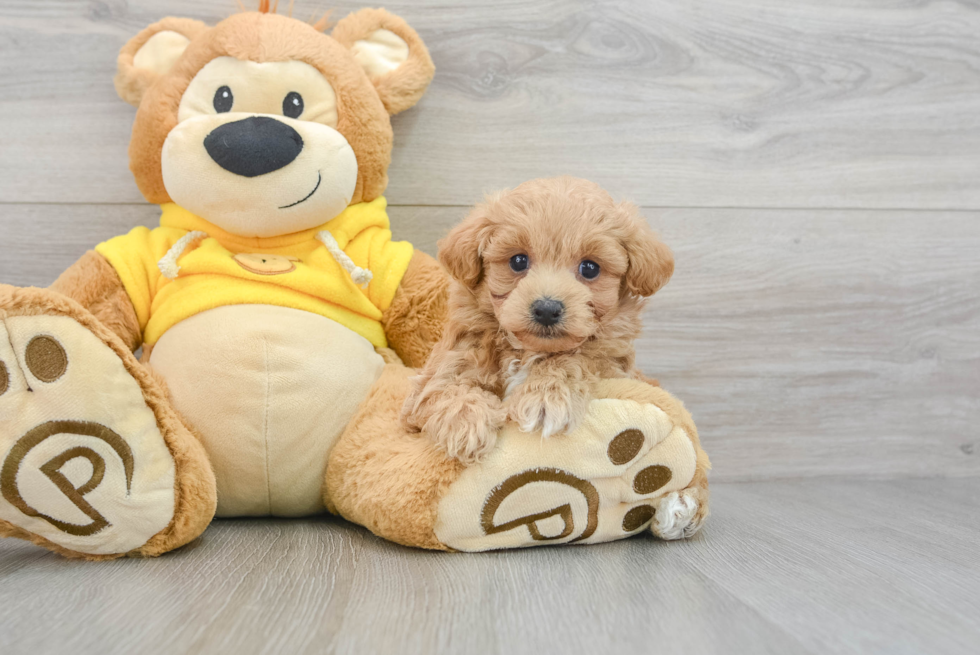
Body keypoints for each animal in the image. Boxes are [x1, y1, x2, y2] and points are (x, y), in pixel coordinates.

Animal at [400, 177, 672, 464]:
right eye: (518, 261)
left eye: (590, 268)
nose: (547, 309)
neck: (526, 350)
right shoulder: (436, 375)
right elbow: (443, 387)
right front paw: (467, 424)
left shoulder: (615, 366)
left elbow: (579, 357)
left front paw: (546, 396)